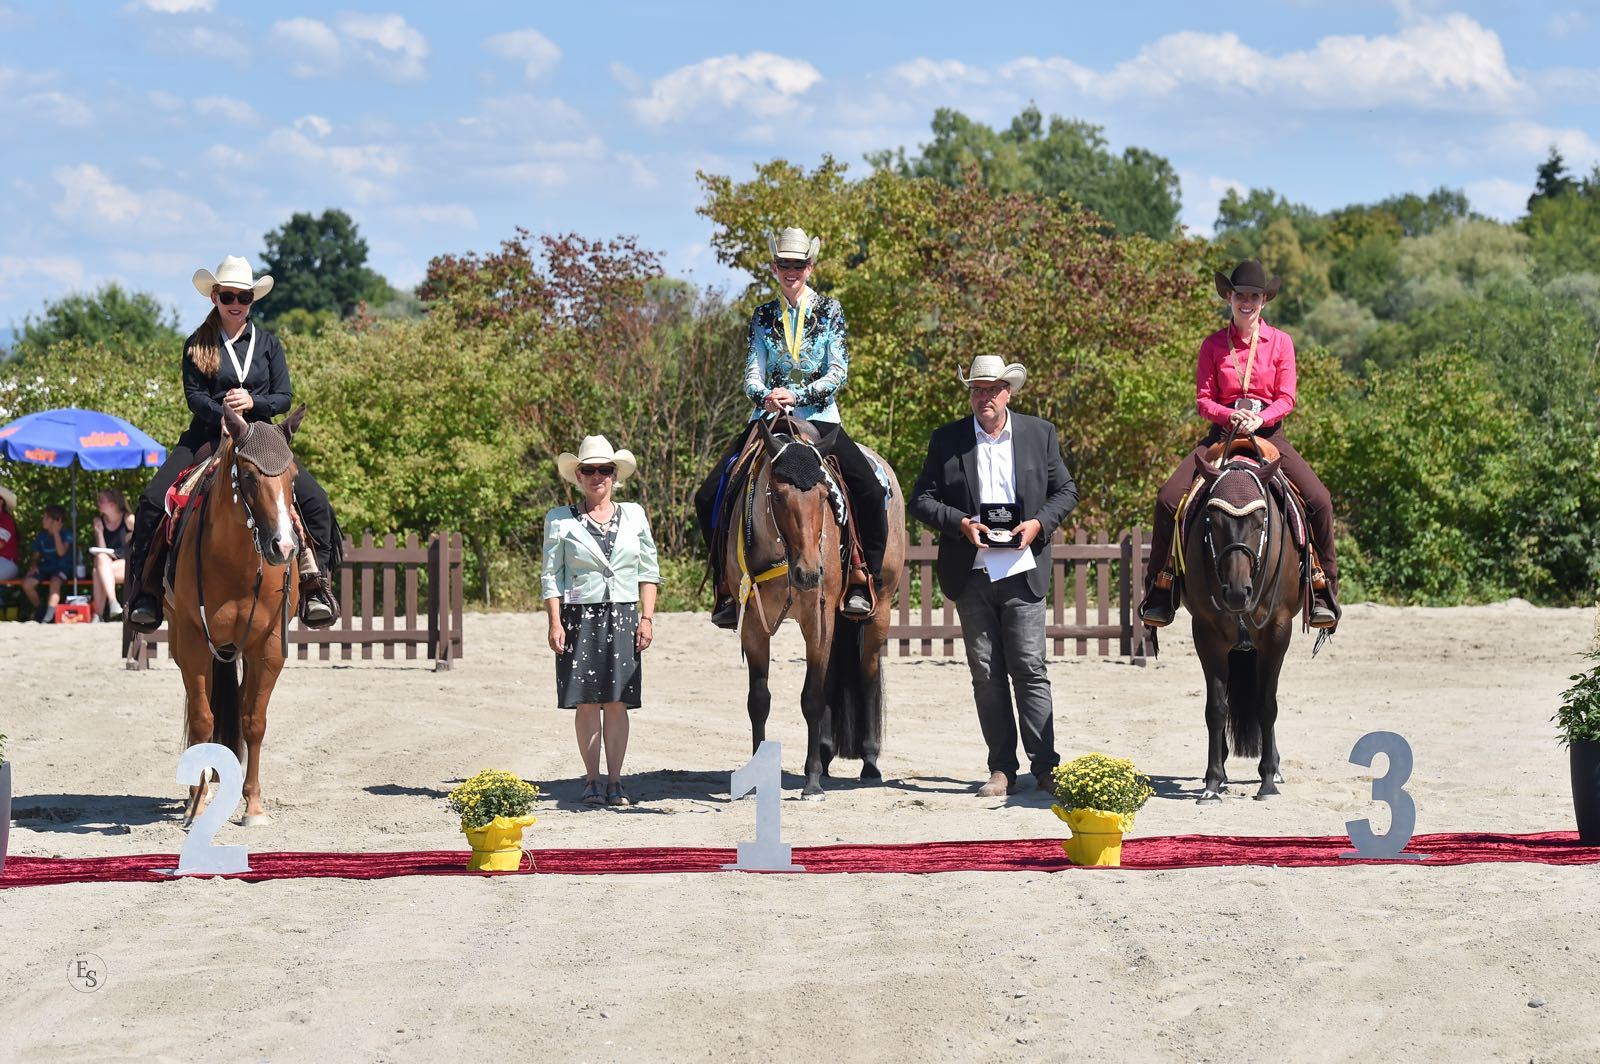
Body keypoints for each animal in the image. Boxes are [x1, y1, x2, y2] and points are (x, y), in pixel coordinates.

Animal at [167, 403, 307, 825]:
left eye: (293, 477)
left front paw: (254, 806)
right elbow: (203, 719)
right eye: (248, 474)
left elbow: (253, 721)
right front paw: (196, 804)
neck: (237, 567)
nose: (284, 547)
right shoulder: (194, 642)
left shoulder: (269, 645)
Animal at [723, 416, 908, 796]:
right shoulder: (753, 623)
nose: (809, 574)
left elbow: (812, 698)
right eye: (779, 495)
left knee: (867, 674)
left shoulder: (816, 617)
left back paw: (869, 762)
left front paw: (811, 782)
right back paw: (825, 754)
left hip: (878, 610)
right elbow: (758, 700)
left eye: (825, 496)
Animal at [1184, 435, 1305, 800]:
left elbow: (1267, 705)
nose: (1238, 593)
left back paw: (1274, 768)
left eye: (1261, 518)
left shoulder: (1278, 632)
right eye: (1211, 518)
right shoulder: (1205, 632)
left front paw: (1267, 780)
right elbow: (1216, 708)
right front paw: (1212, 781)